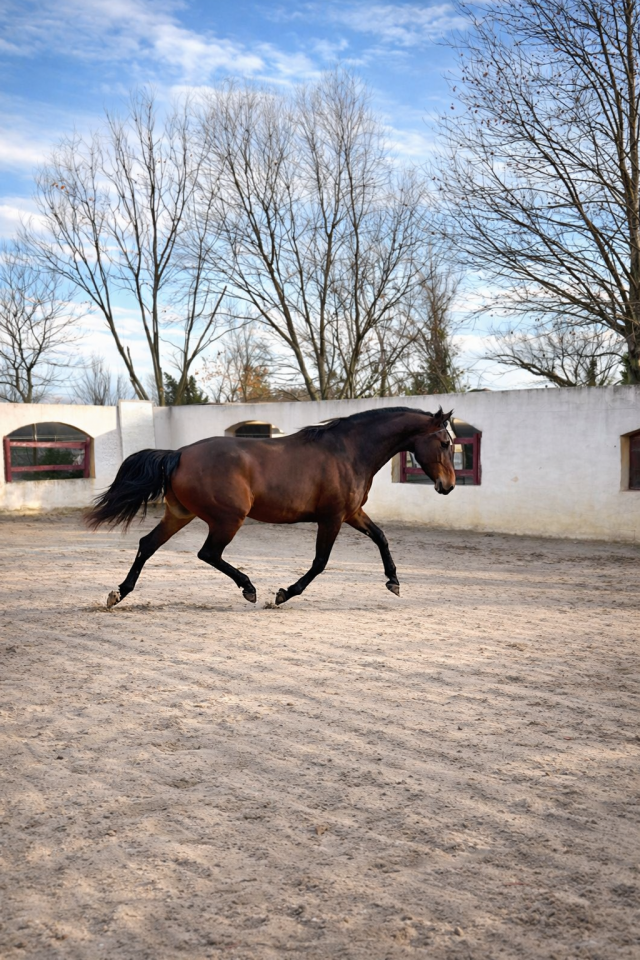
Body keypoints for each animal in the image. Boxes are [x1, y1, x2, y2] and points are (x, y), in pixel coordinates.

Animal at [86, 405, 456, 609]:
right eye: (445, 442)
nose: (448, 485)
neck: (348, 451)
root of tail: (178, 454)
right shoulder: (332, 518)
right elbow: (320, 562)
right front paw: (283, 594)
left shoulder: (351, 514)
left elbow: (381, 537)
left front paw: (393, 581)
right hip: (228, 519)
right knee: (208, 553)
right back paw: (249, 589)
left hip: (180, 514)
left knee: (147, 545)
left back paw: (118, 594)